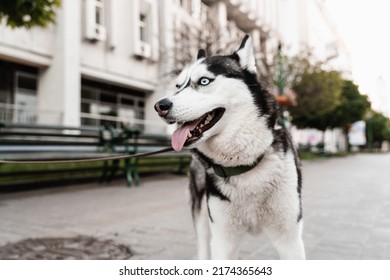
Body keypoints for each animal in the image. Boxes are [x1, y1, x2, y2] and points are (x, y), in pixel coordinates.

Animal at [155, 36, 304, 260]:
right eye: (178, 85)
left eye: (204, 81)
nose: (160, 106)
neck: (244, 164)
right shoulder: (223, 239)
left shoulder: (290, 238)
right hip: (201, 214)